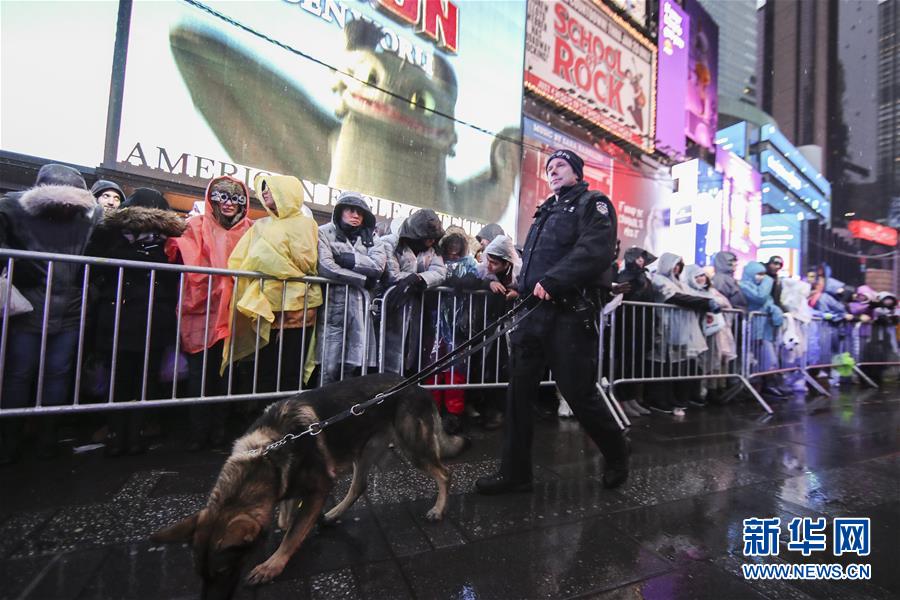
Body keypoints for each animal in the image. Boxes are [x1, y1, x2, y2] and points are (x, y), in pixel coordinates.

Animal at [149, 372, 464, 596]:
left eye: (224, 571)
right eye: (200, 574)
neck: (266, 454)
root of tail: (417, 386)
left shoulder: (319, 488)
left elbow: (291, 536)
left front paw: (271, 566)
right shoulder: (287, 484)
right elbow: (286, 518)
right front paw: (291, 526)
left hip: (413, 447)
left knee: (444, 473)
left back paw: (438, 509)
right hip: (363, 452)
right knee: (359, 486)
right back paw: (333, 515)